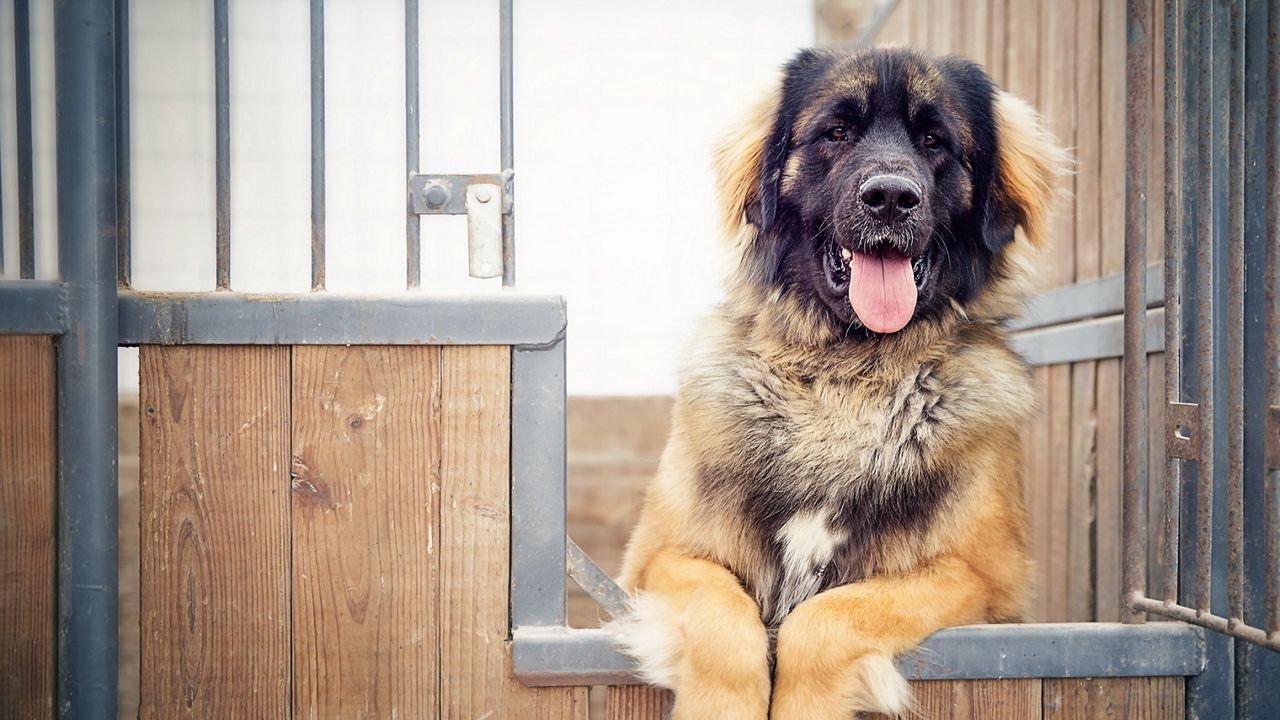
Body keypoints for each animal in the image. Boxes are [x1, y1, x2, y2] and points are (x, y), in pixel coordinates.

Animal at [609, 46, 1070, 717]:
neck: (847, 377)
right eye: (837, 133)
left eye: (935, 140)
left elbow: (829, 617)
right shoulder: (661, 557)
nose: (891, 198)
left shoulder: (980, 577)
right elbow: (722, 616)